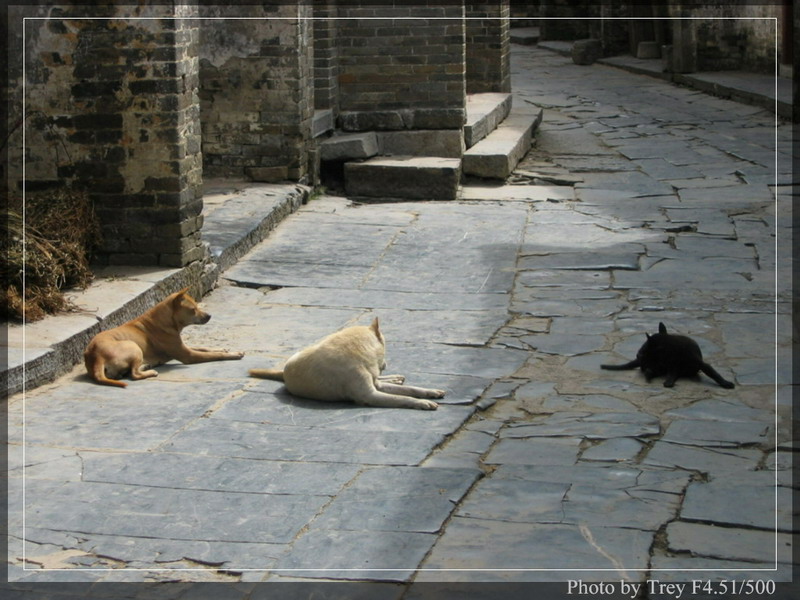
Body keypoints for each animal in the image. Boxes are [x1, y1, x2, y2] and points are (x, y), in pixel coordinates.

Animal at [84, 287, 244, 387]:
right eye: (193, 309)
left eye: (197, 306)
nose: (209, 316)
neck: (164, 320)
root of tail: (95, 356)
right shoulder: (188, 355)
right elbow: (215, 355)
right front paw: (234, 354)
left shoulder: (183, 347)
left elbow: (204, 347)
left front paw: (222, 348)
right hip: (133, 346)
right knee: (134, 375)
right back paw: (150, 371)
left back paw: (144, 366)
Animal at [249, 317, 443, 410]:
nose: (386, 364)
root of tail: (282, 372)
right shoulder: (371, 396)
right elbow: (403, 398)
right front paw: (421, 403)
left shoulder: (374, 385)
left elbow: (411, 389)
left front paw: (429, 392)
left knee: (385, 382)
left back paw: (395, 378)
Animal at [601, 322, 734, 389]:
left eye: (644, 348)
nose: (637, 354)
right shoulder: (672, 366)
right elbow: (672, 375)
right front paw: (669, 381)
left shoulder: (700, 364)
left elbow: (714, 374)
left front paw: (725, 383)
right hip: (658, 366)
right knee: (650, 370)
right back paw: (649, 374)